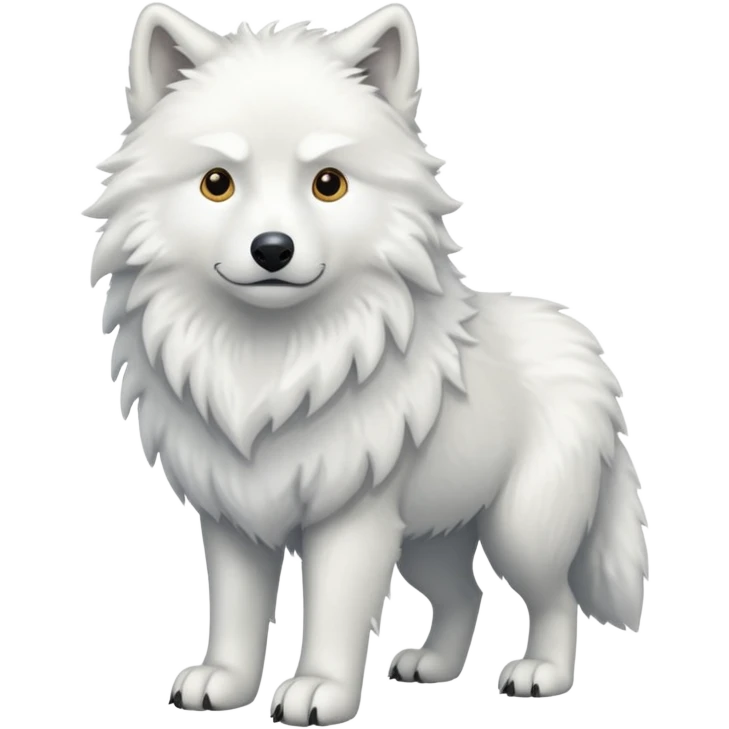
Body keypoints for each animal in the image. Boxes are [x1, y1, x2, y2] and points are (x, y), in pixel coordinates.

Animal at [85, 3, 649, 724]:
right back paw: (430, 668)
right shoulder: (234, 516)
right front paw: (224, 684)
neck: (272, 362)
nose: (273, 249)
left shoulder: (353, 519)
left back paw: (540, 675)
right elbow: (235, 612)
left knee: (555, 597)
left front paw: (319, 691)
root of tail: (586, 345)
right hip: (431, 539)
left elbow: (333, 613)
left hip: (520, 527)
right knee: (466, 593)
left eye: (328, 184)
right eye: (217, 183)